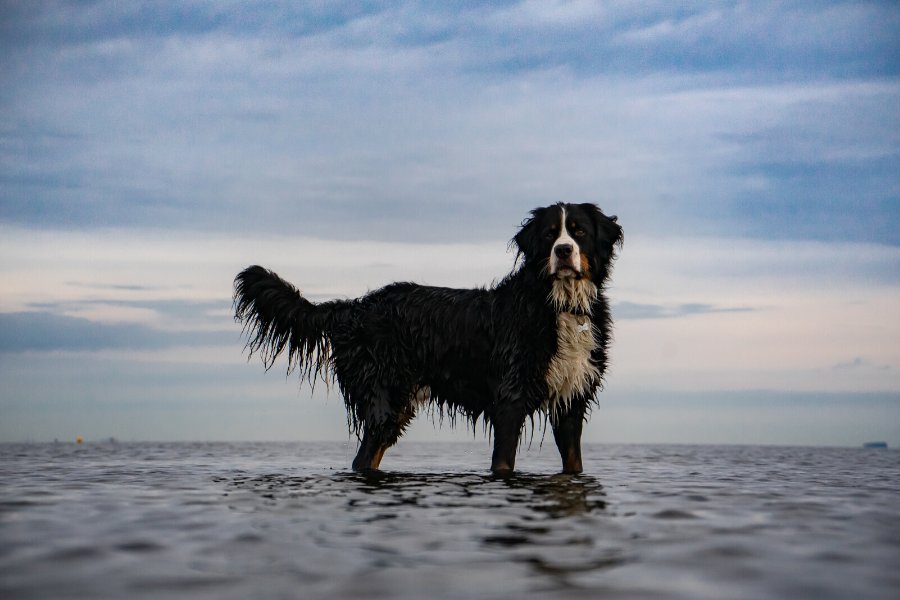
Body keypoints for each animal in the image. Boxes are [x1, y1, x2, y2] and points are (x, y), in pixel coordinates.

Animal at [236, 204, 624, 476]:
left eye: (579, 232)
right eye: (548, 235)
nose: (563, 251)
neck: (560, 304)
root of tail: (355, 306)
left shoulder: (572, 402)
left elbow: (573, 464)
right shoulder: (510, 400)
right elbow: (503, 462)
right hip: (385, 398)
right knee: (364, 458)